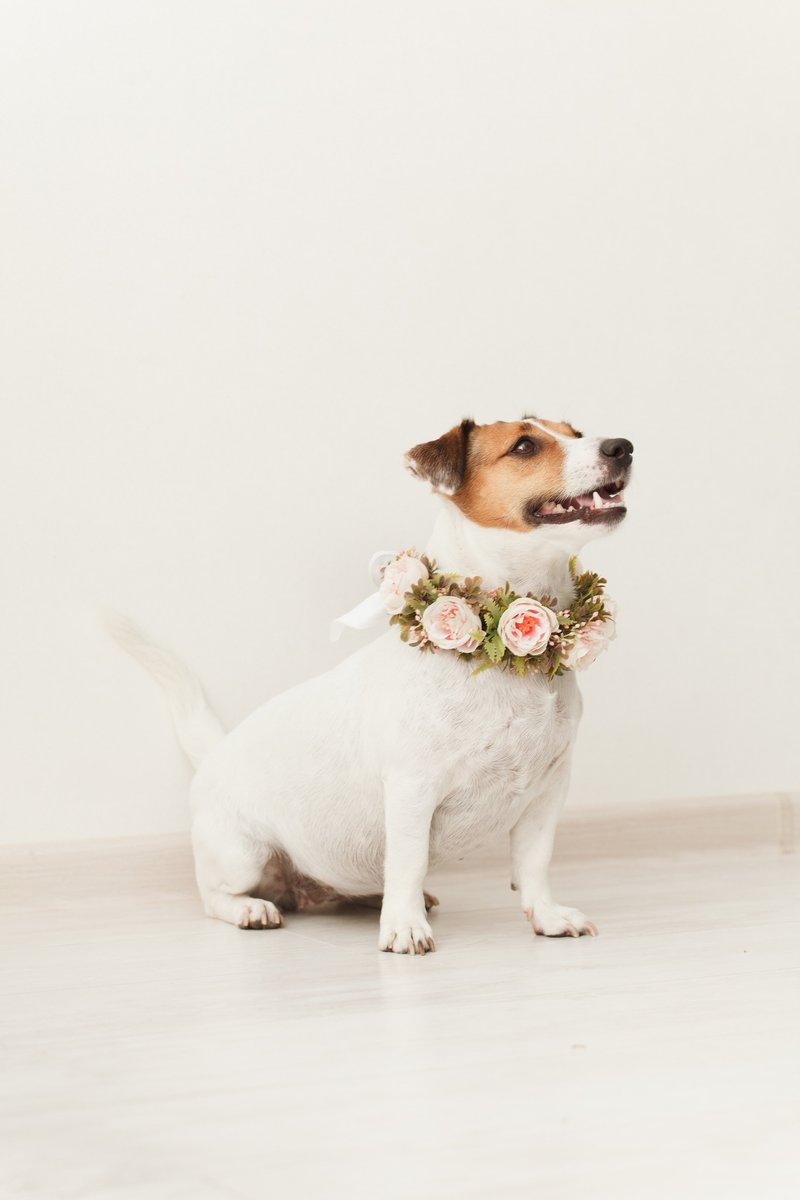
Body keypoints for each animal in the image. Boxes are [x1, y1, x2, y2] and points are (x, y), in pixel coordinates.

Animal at [112, 417, 633, 950]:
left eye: (575, 432)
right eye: (525, 446)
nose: (623, 447)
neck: (511, 662)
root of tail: (214, 752)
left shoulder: (547, 793)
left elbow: (534, 864)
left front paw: (547, 916)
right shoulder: (412, 788)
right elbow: (409, 861)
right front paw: (404, 926)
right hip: (241, 854)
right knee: (216, 895)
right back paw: (250, 909)